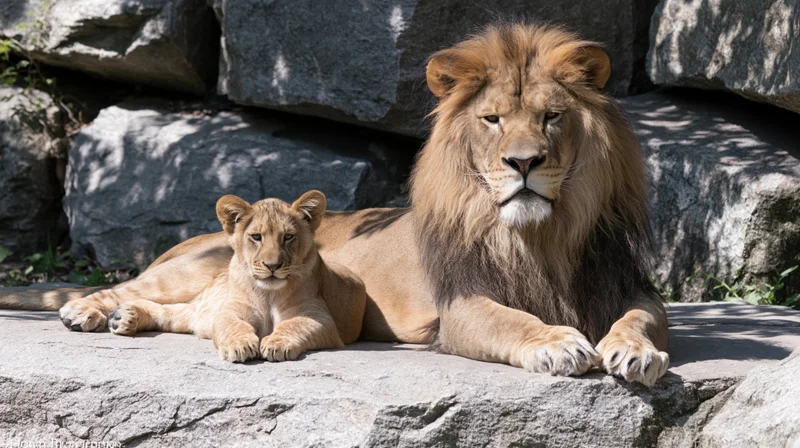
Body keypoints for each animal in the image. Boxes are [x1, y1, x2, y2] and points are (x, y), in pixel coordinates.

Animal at [62, 190, 366, 362]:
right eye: (256, 237)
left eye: (288, 237)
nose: (272, 265)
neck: (268, 293)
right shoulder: (229, 311)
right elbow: (233, 326)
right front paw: (239, 346)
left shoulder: (321, 319)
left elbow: (293, 325)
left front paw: (276, 343)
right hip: (179, 280)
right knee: (116, 291)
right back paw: (80, 314)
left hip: (195, 311)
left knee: (172, 313)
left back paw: (125, 317)